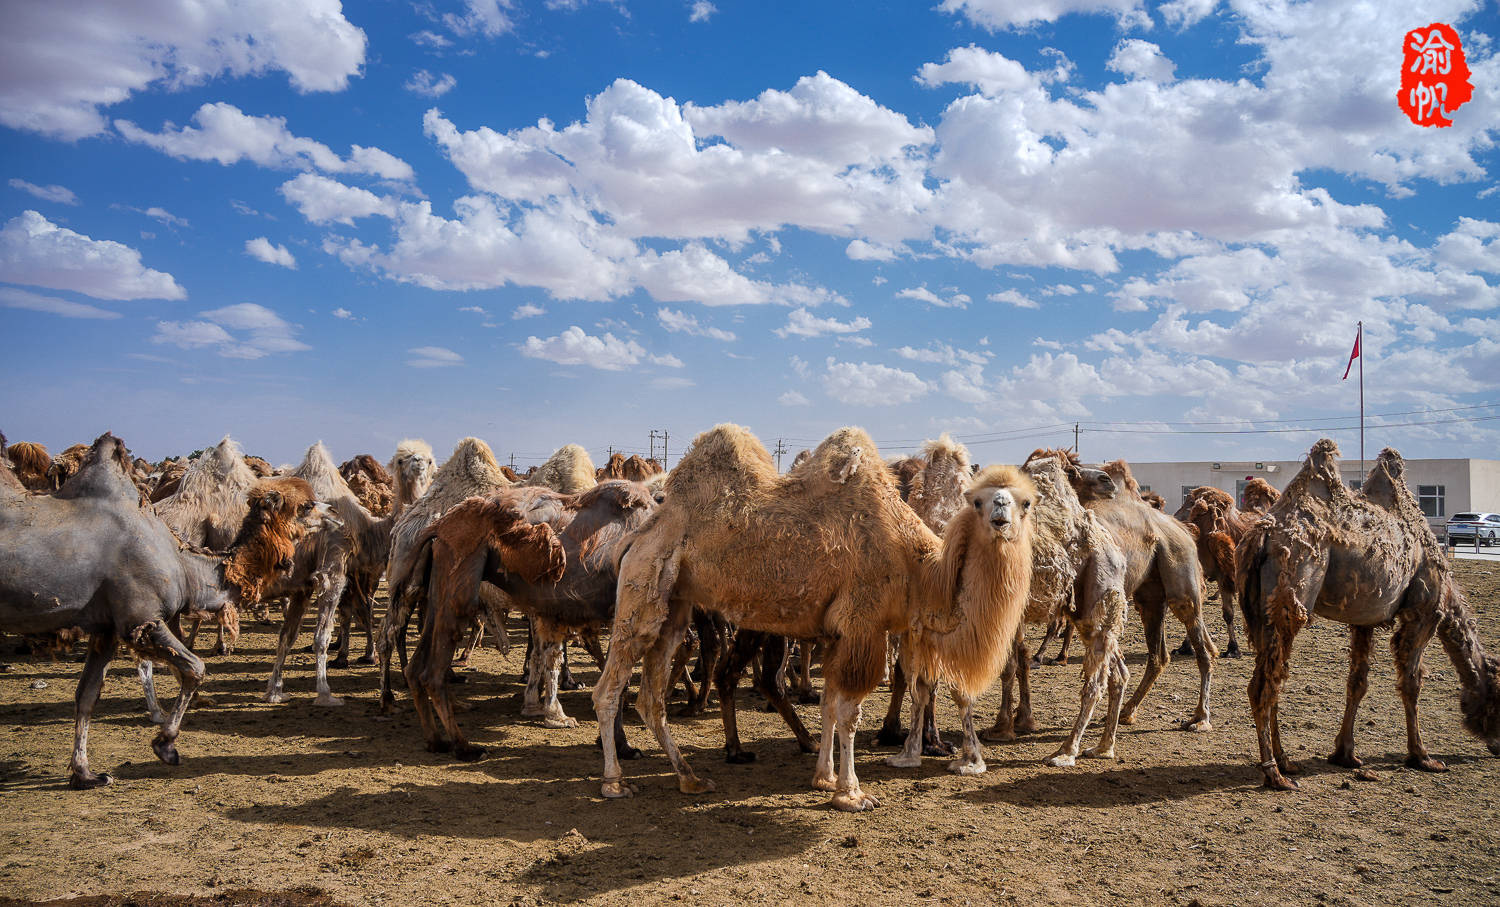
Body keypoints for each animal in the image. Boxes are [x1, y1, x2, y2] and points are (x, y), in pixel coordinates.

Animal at [0, 431, 322, 785]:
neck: (184, 564)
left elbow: (87, 695)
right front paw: (165, 745)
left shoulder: (106, 630)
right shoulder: (142, 619)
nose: (334, 512)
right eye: (307, 505)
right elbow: (195, 669)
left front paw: (85, 773)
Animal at [405, 479, 657, 755]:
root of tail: (438, 526)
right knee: (432, 671)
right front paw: (623, 746)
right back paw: (465, 747)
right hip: (460, 576)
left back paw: (435, 741)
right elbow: (619, 682)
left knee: (415, 667)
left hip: (440, 586)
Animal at [591, 428, 1038, 809]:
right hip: (642, 589)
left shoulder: (839, 632)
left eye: (1026, 502)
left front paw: (823, 777)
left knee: (650, 697)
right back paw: (615, 781)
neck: (919, 568)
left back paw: (691, 778)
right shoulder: (863, 623)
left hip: (675, 604)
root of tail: (637, 536)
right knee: (609, 689)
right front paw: (851, 793)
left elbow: (828, 704)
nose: (1000, 513)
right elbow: (849, 712)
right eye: (977, 500)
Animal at [1230, 437, 1500, 785]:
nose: (1497, 746)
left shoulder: (1364, 621)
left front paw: (1345, 754)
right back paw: (1275, 775)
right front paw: (1423, 757)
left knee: (1274, 675)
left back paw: (1287, 762)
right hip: (1293, 595)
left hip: (1262, 612)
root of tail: (1261, 535)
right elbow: (1412, 682)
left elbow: (1357, 682)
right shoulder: (1424, 612)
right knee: (1265, 683)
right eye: (1499, 697)